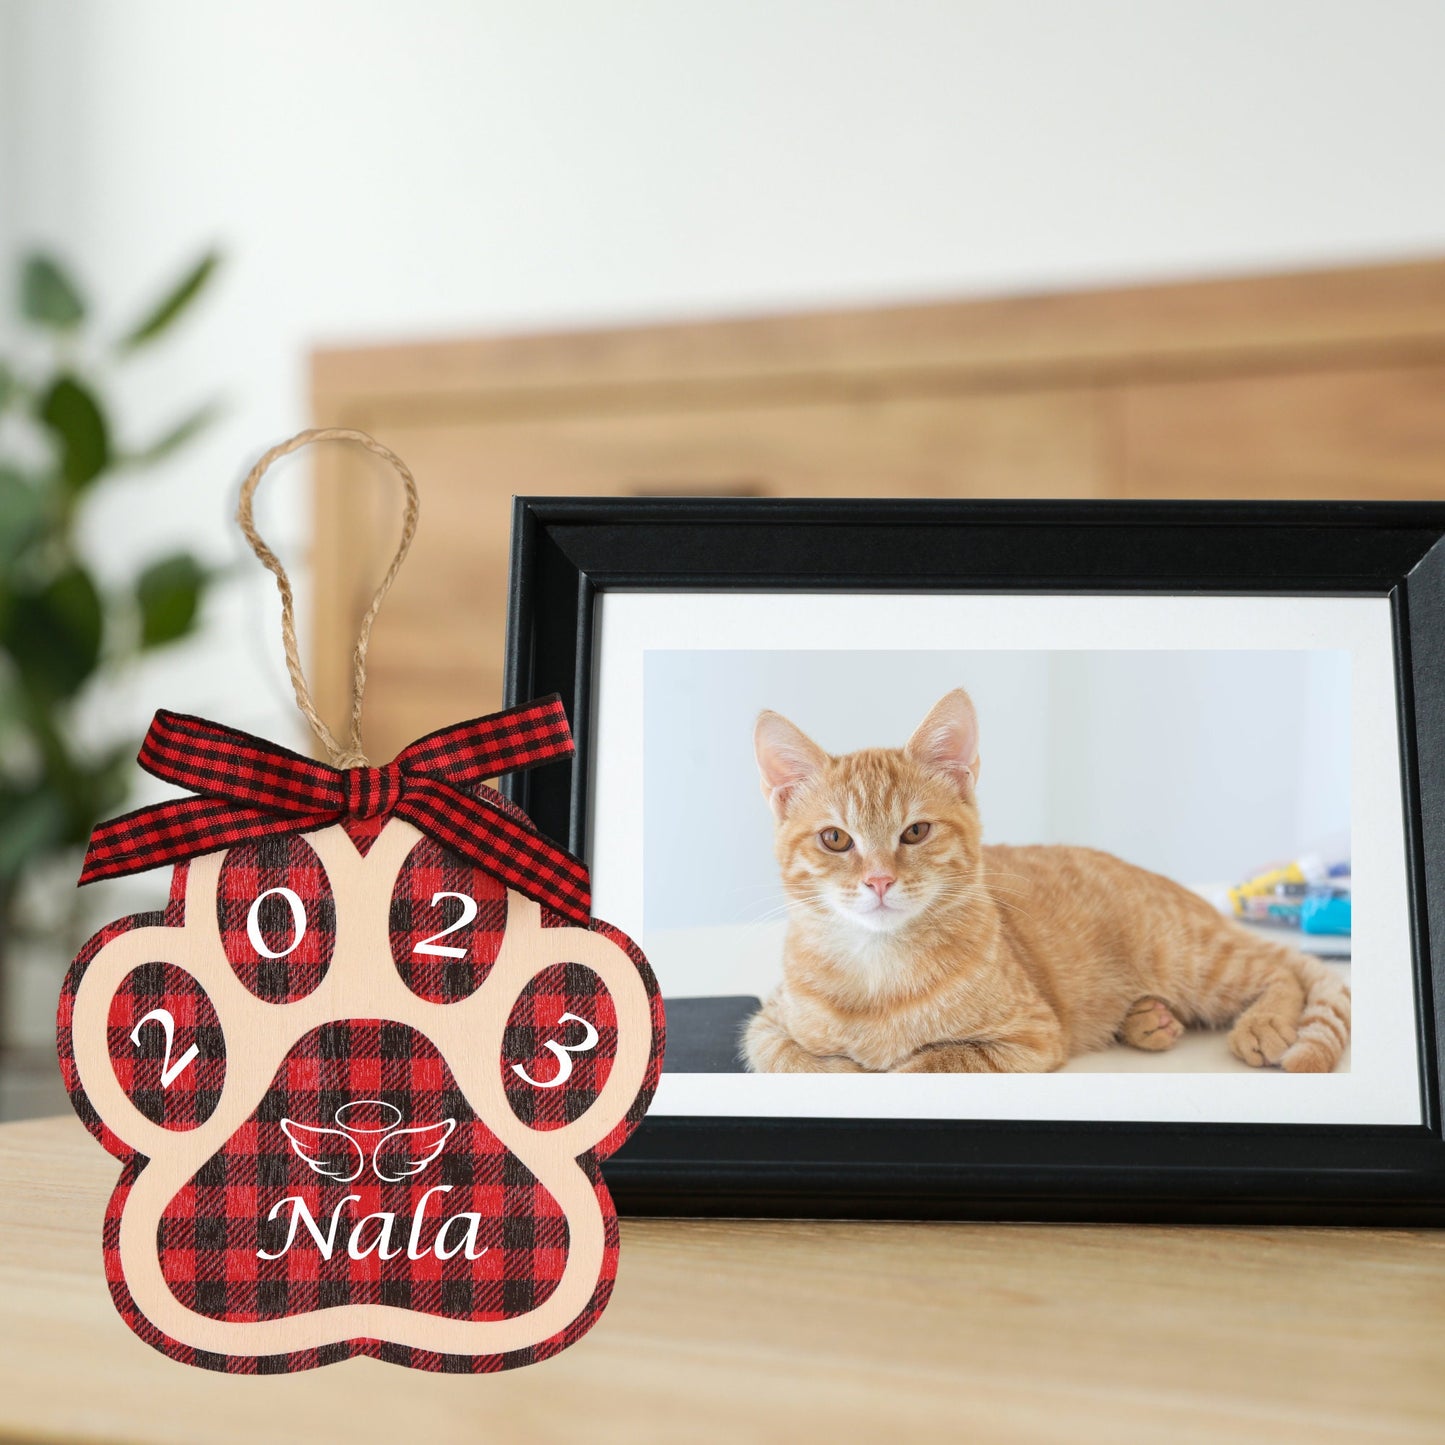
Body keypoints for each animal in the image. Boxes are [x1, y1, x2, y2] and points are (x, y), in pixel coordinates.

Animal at [745, 687, 1352, 1075]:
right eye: (835, 839)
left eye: (915, 832)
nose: (878, 880)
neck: (878, 968)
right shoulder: (765, 1025)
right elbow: (794, 1059)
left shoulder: (1031, 1036)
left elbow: (929, 1061)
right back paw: (1148, 1020)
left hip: (1193, 957)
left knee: (1280, 969)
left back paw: (1261, 1022)